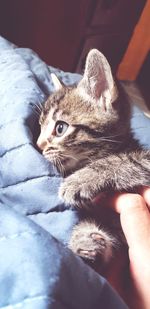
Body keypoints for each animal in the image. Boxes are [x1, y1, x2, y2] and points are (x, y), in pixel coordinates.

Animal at [36, 49, 150, 266]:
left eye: (60, 128)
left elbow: (128, 160)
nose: (38, 146)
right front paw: (86, 238)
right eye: (40, 126)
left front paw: (82, 179)